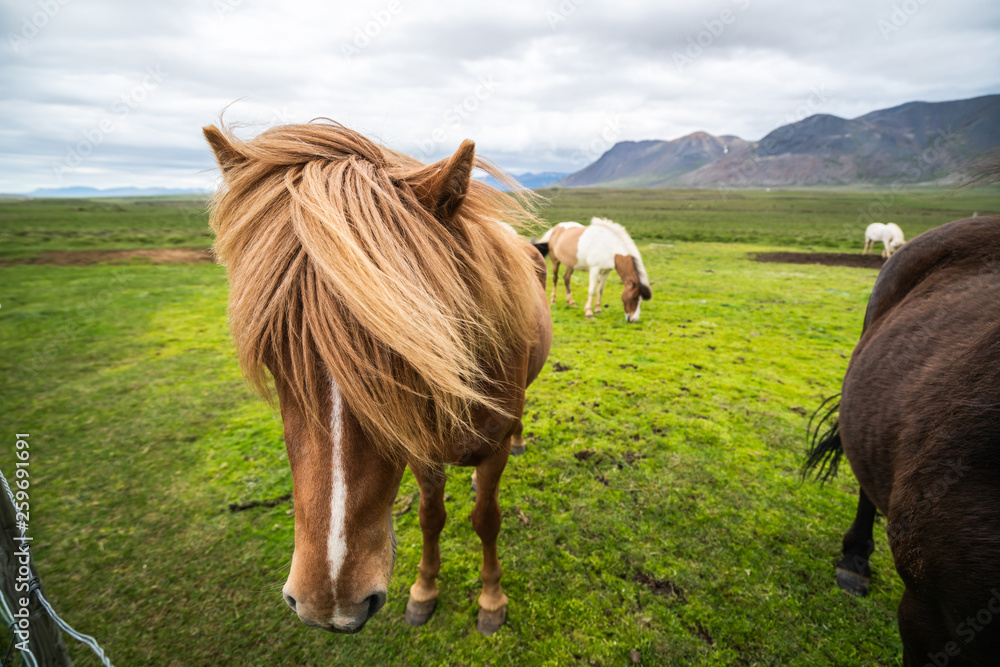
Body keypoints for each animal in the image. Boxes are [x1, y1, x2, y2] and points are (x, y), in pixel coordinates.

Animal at [203, 120, 556, 636]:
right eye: (270, 353)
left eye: (419, 352)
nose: (330, 603)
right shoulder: (423, 453)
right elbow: (431, 517)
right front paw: (424, 591)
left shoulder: (490, 451)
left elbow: (486, 519)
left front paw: (492, 599)